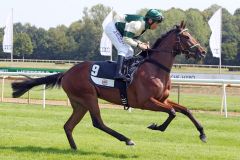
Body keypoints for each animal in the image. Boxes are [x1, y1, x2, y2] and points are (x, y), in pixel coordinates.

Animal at [11, 21, 206, 150]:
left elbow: (185, 110)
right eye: (186, 36)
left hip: (79, 103)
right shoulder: (146, 102)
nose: (203, 51)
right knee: (98, 122)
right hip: (89, 97)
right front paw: (156, 126)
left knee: (68, 126)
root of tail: (66, 73)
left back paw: (74, 148)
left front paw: (202, 134)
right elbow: (172, 112)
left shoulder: (162, 99)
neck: (155, 68)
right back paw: (127, 139)